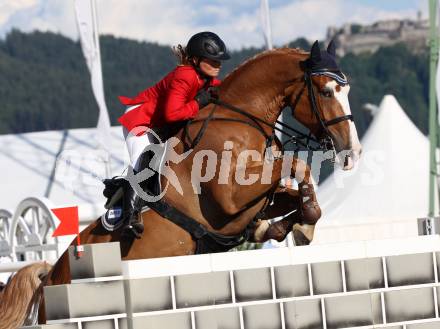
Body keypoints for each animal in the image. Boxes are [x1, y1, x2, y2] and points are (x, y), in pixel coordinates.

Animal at [0, 41, 360, 326]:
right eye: (326, 91)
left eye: (347, 90)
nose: (353, 153)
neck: (242, 119)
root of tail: (50, 275)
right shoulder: (230, 199)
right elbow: (299, 166)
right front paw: (301, 226)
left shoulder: (255, 198)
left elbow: (290, 194)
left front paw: (286, 227)